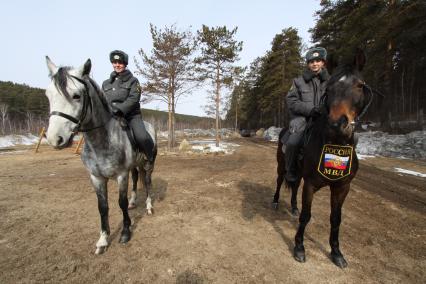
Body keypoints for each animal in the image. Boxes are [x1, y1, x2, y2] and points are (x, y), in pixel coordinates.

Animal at [44, 56, 156, 254]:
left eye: (76, 95)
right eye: (48, 95)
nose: (54, 139)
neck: (101, 142)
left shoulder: (121, 175)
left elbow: (120, 202)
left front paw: (125, 233)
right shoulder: (96, 177)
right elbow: (102, 207)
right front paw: (103, 240)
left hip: (147, 164)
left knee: (148, 181)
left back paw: (149, 206)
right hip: (134, 166)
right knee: (136, 179)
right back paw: (134, 201)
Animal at [272, 50, 372, 268]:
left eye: (359, 85)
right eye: (330, 87)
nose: (337, 124)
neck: (334, 144)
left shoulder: (342, 187)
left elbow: (336, 219)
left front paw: (336, 253)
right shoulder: (311, 184)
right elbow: (306, 216)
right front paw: (299, 248)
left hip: (298, 173)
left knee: (294, 186)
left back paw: (293, 207)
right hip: (282, 167)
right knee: (280, 182)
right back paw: (275, 202)